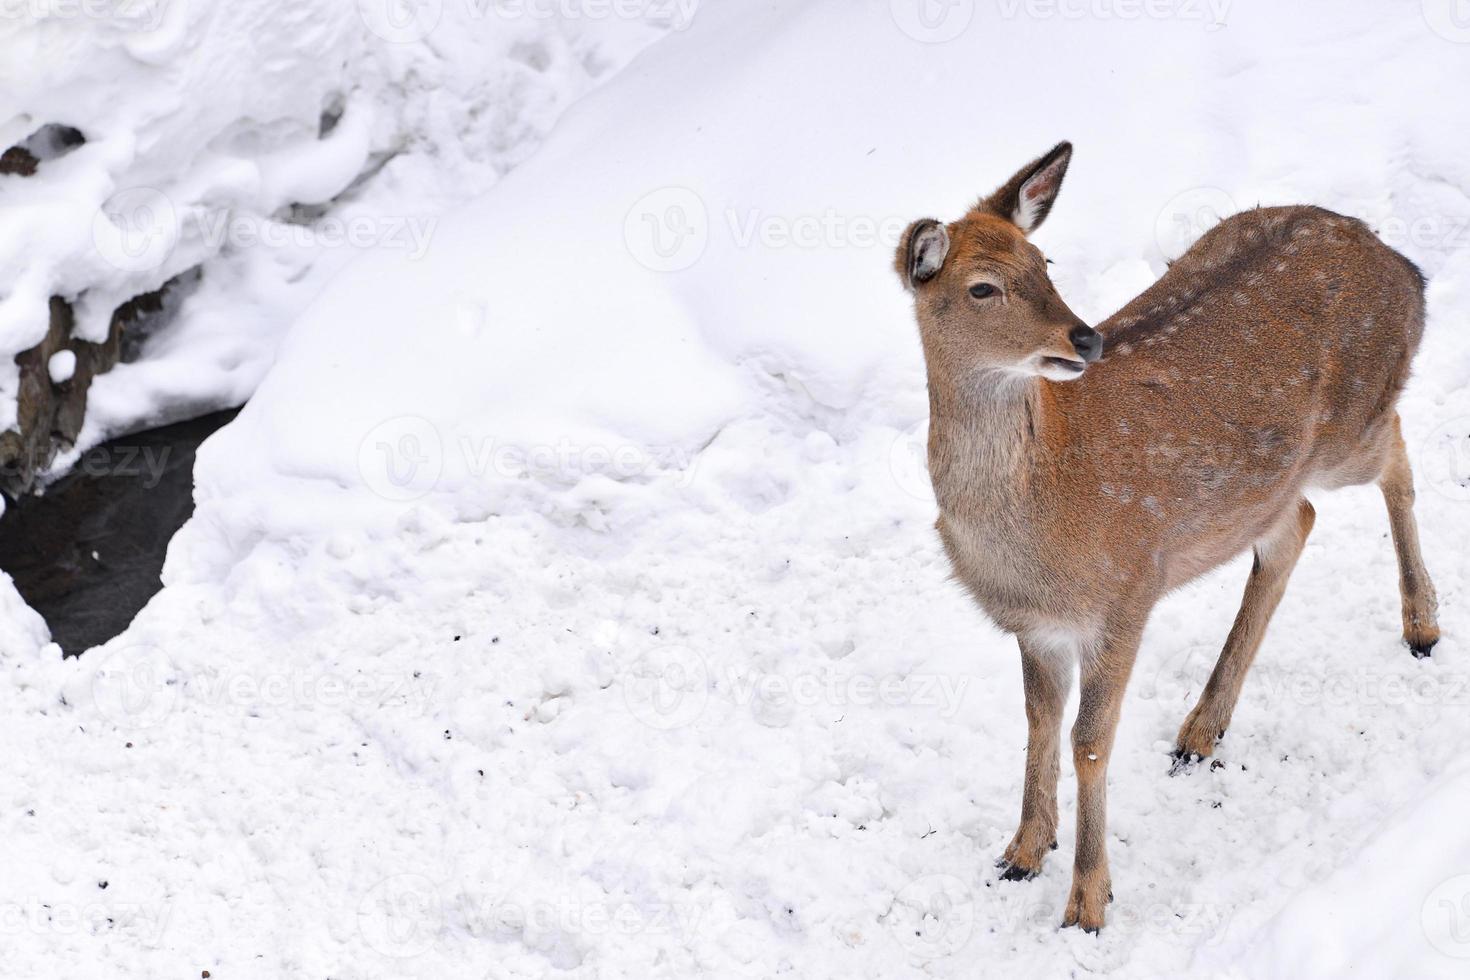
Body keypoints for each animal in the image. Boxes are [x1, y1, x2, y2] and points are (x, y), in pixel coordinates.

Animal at [887, 141, 1440, 934]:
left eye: (1044, 262)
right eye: (983, 288)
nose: (1084, 336)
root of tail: (1403, 264)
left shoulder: (1126, 591)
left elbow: (1090, 742)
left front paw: (1087, 903)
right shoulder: (1036, 625)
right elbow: (1038, 721)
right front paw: (1022, 851)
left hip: (1351, 429)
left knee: (1394, 450)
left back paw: (1422, 625)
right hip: (1276, 481)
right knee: (1296, 526)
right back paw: (1201, 728)